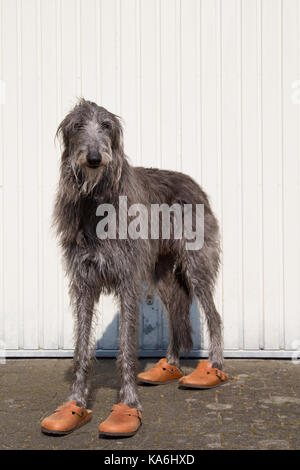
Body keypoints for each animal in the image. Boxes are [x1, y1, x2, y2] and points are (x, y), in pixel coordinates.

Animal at [53, 98, 223, 412]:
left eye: (106, 125)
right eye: (78, 125)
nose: (94, 158)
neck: (97, 203)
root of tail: (195, 184)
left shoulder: (127, 281)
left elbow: (126, 348)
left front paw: (129, 401)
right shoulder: (84, 283)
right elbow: (81, 349)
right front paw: (76, 401)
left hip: (197, 265)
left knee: (213, 316)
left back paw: (215, 367)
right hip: (162, 274)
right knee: (176, 312)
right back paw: (169, 365)